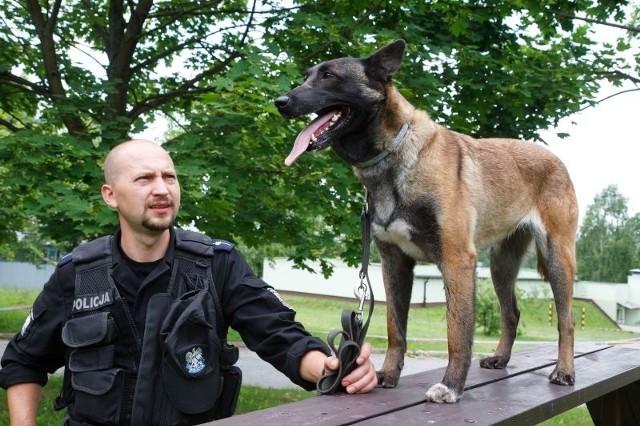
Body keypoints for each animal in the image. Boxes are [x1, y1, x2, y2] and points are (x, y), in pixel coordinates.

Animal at [276, 40, 580, 402]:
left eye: (329, 76)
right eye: (305, 77)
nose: (280, 102)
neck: (393, 156)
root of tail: (556, 159)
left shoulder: (456, 260)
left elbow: (457, 332)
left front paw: (451, 385)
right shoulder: (394, 263)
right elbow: (395, 328)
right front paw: (387, 375)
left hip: (557, 257)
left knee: (566, 320)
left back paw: (564, 371)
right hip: (501, 266)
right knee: (511, 313)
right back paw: (500, 358)